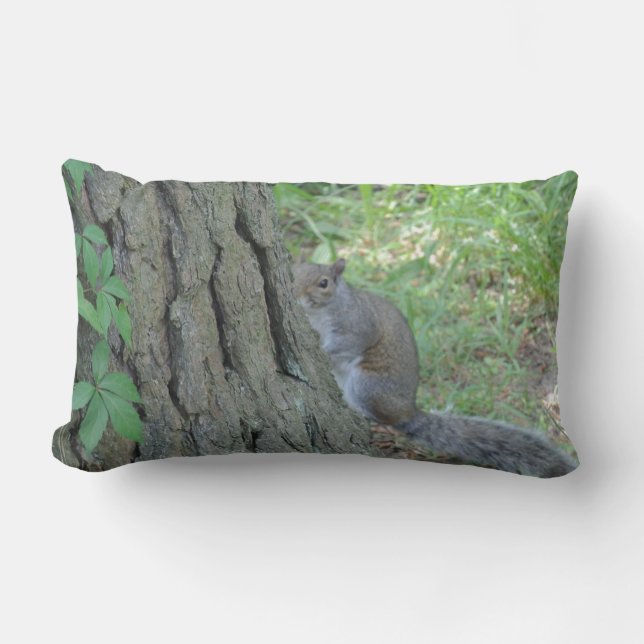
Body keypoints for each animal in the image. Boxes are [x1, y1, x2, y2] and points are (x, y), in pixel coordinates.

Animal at [292, 258, 578, 478]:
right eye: (296, 270)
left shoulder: (357, 324)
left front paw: (324, 350)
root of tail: (408, 411)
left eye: (324, 283)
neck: (321, 312)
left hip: (367, 384)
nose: (297, 295)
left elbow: (350, 342)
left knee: (381, 417)